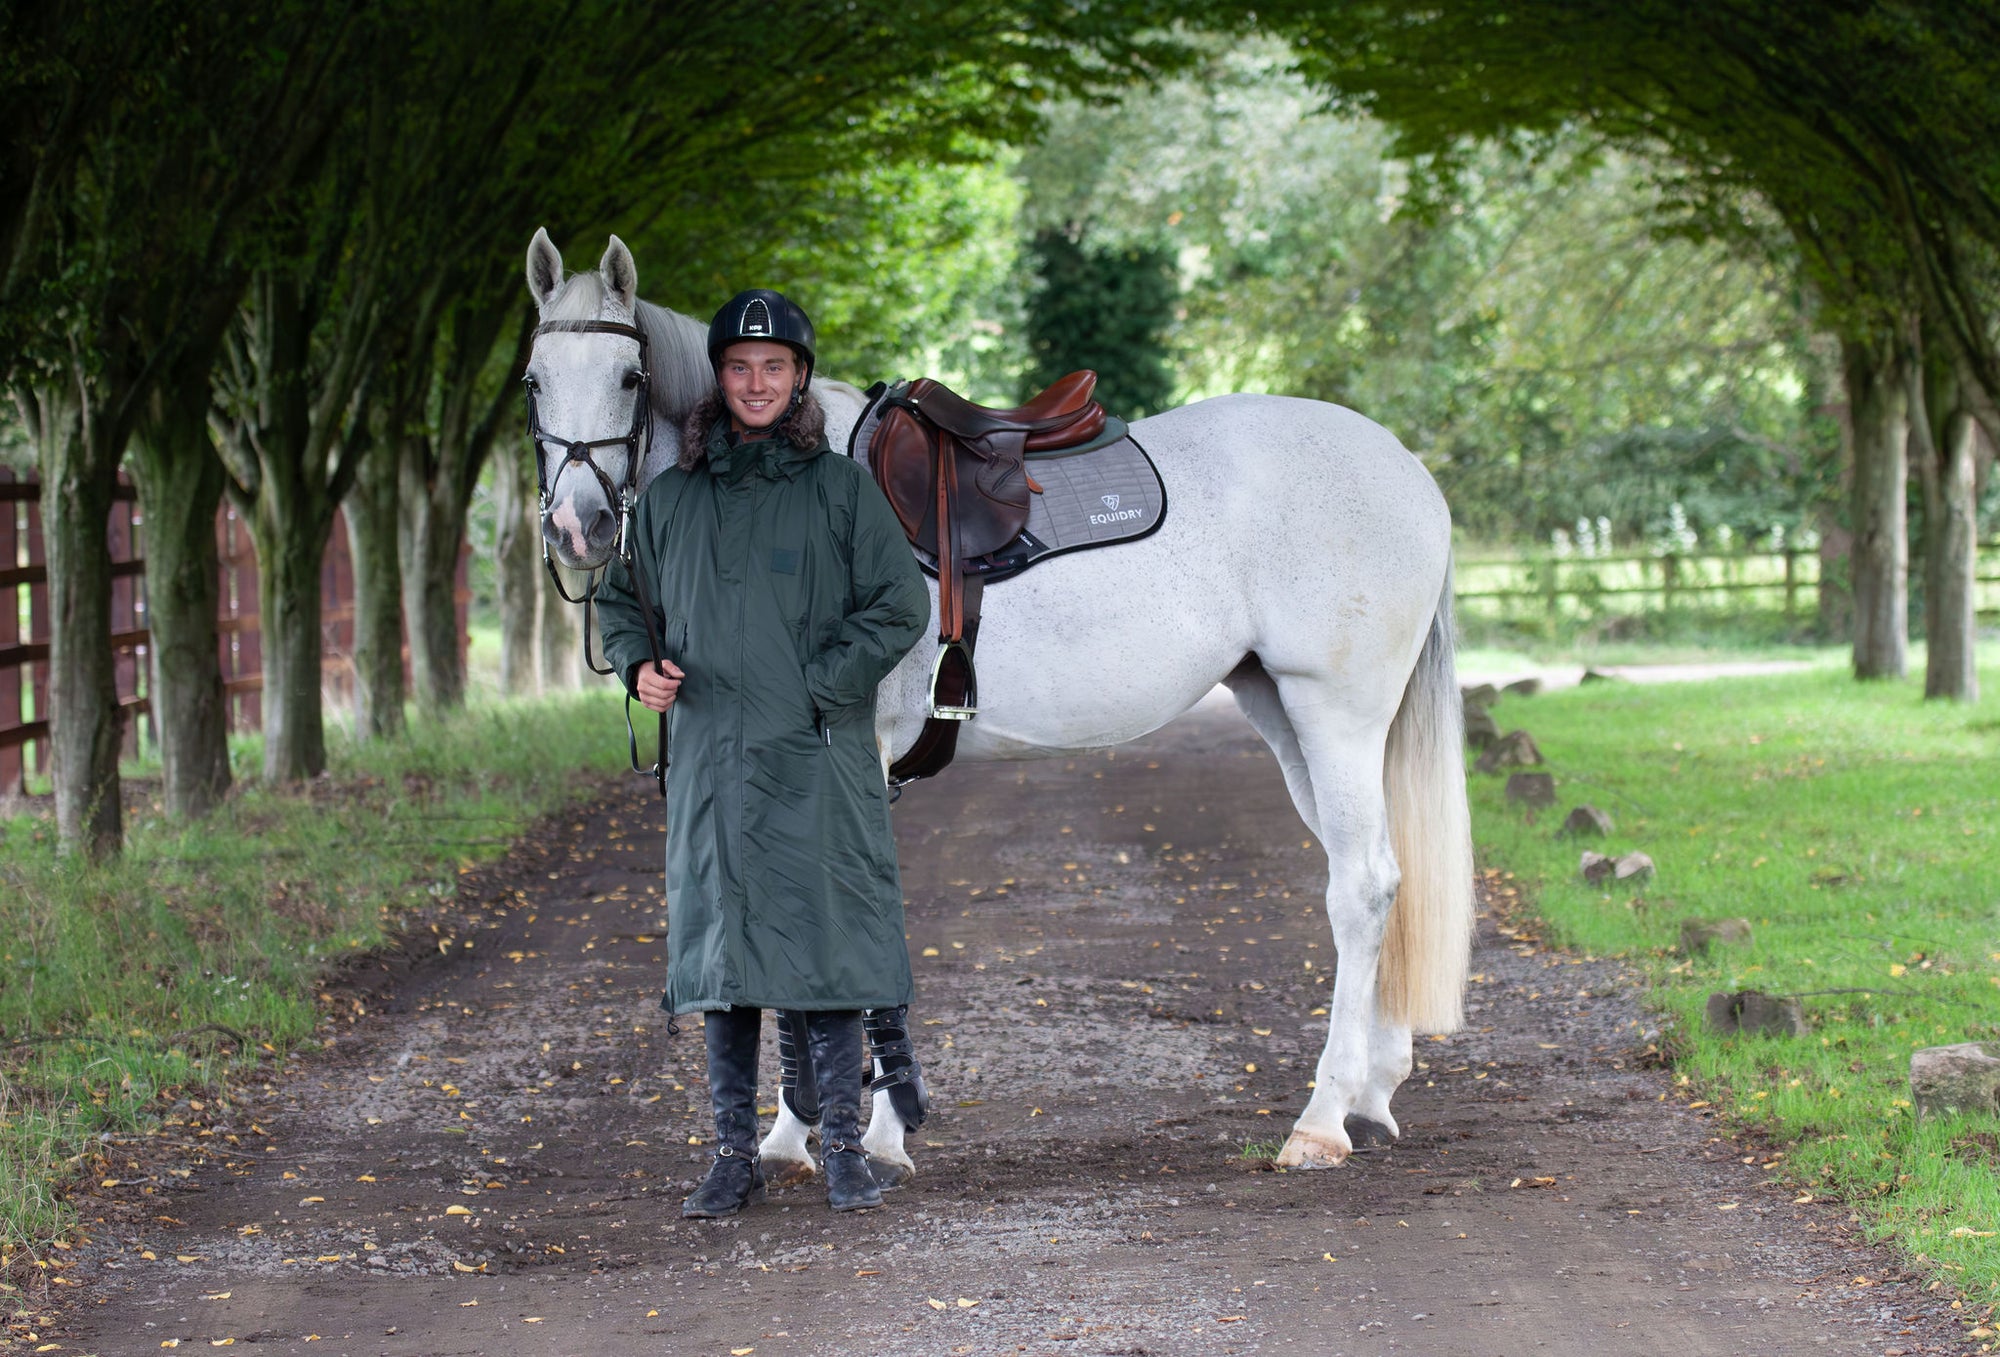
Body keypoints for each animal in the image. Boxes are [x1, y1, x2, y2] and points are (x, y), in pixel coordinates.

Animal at [524, 236, 1480, 1192]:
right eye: (534, 380)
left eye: (628, 377)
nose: (578, 525)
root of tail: (1407, 470)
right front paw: (797, 1134)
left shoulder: (852, 757)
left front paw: (870, 1132)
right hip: (1286, 715)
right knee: (1381, 875)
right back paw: (1372, 1090)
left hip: (1335, 714)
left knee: (1362, 886)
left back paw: (1322, 1119)